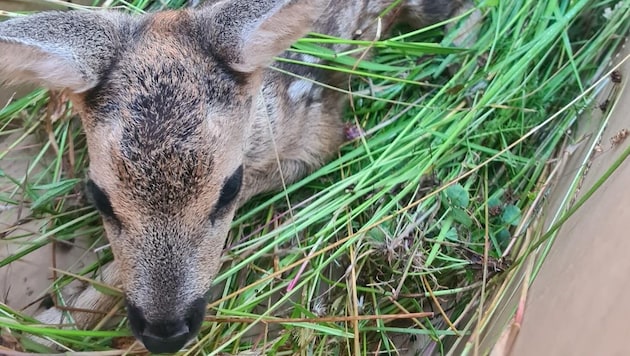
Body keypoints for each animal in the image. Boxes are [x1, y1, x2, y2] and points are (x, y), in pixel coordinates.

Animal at [0, 0, 474, 352]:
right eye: (99, 196)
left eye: (228, 189)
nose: (165, 334)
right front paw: (49, 324)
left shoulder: (318, 136)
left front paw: (52, 323)